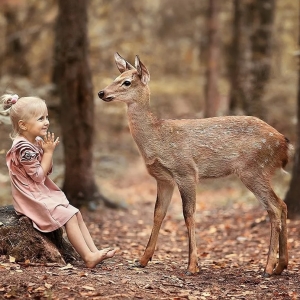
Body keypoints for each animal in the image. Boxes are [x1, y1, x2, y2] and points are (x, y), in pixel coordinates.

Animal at [98, 52, 292, 276]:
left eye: (127, 82)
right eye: (116, 77)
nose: (101, 92)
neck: (157, 138)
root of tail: (284, 144)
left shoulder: (186, 171)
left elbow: (188, 214)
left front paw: (192, 265)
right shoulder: (164, 179)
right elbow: (158, 214)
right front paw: (143, 259)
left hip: (254, 168)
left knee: (274, 207)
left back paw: (268, 267)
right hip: (259, 171)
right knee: (282, 204)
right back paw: (281, 265)